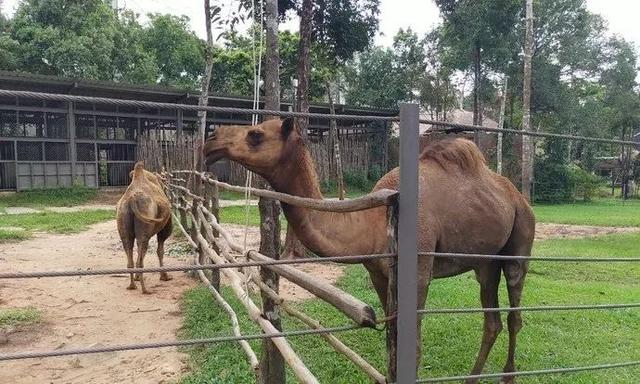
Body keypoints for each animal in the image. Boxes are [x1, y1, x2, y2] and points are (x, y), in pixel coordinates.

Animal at [116, 162, 172, 294]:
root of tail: (132, 200)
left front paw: (137, 277)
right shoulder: (164, 228)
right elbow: (160, 250)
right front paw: (165, 276)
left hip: (123, 219)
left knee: (129, 248)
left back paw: (132, 285)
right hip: (145, 223)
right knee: (142, 250)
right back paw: (145, 289)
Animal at [204, 118, 536, 382]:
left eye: (255, 134)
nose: (210, 140)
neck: (377, 219)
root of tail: (518, 196)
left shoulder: (419, 272)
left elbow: (414, 345)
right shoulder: (378, 273)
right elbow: (393, 339)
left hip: (520, 241)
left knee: (514, 313)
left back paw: (508, 377)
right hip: (486, 262)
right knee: (492, 320)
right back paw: (472, 378)